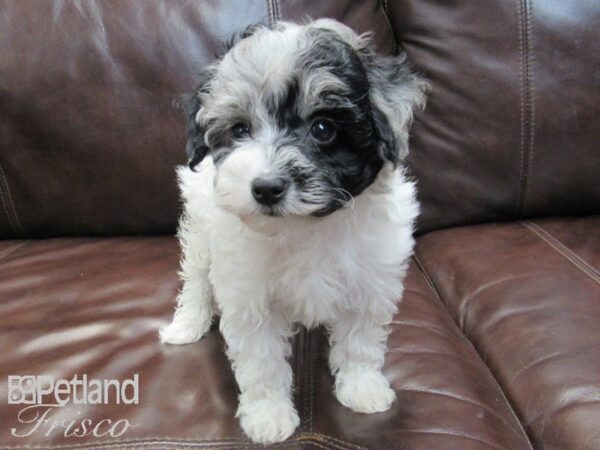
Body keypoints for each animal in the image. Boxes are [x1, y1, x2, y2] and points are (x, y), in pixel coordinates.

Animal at [161, 19, 426, 444]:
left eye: (322, 128)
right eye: (240, 129)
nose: (266, 188)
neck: (307, 226)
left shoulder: (370, 282)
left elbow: (361, 340)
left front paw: (363, 387)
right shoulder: (250, 296)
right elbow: (262, 360)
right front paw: (268, 415)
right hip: (201, 226)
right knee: (197, 278)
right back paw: (187, 324)